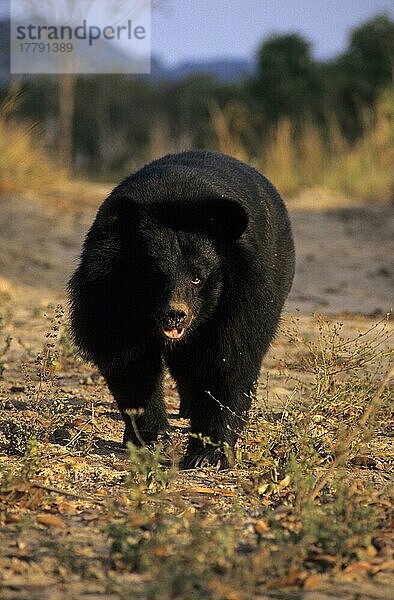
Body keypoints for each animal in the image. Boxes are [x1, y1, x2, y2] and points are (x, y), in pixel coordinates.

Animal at [68, 151, 296, 468]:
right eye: (154, 275)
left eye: (197, 277)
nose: (175, 314)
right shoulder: (107, 295)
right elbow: (128, 360)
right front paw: (152, 440)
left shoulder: (243, 294)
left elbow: (229, 358)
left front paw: (208, 453)